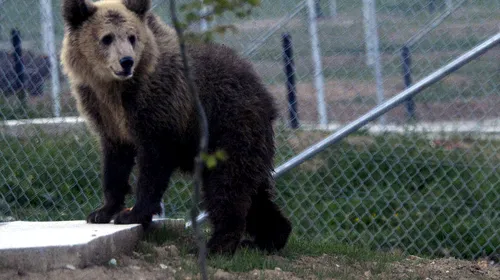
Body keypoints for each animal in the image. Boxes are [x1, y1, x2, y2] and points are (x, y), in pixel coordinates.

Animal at [59, 0, 292, 255]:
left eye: (132, 37)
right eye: (107, 38)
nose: (126, 61)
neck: (115, 89)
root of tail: (266, 96)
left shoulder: (160, 107)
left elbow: (153, 164)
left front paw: (132, 214)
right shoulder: (106, 115)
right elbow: (115, 163)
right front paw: (102, 211)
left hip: (229, 127)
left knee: (227, 185)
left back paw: (217, 244)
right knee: (254, 192)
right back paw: (269, 238)